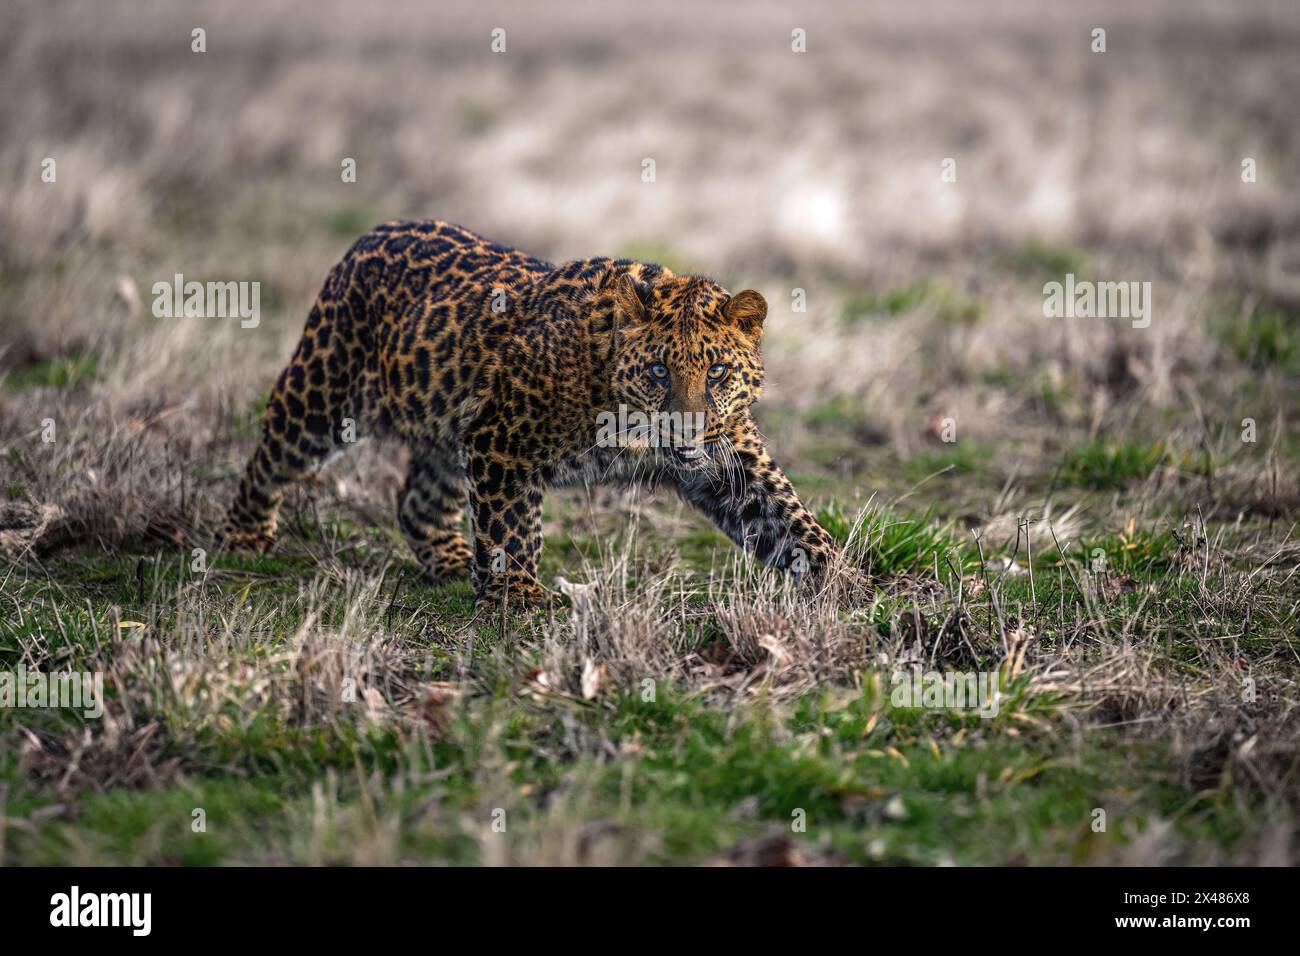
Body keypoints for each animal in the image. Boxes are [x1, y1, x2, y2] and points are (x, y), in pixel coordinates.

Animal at [218, 221, 837, 606]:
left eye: (718, 372)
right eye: (660, 371)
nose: (685, 431)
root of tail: (373, 234)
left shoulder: (731, 461)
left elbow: (792, 522)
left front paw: (843, 582)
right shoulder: (501, 441)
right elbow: (512, 527)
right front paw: (518, 600)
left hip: (448, 431)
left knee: (418, 503)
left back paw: (452, 562)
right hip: (322, 392)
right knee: (269, 459)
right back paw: (243, 539)